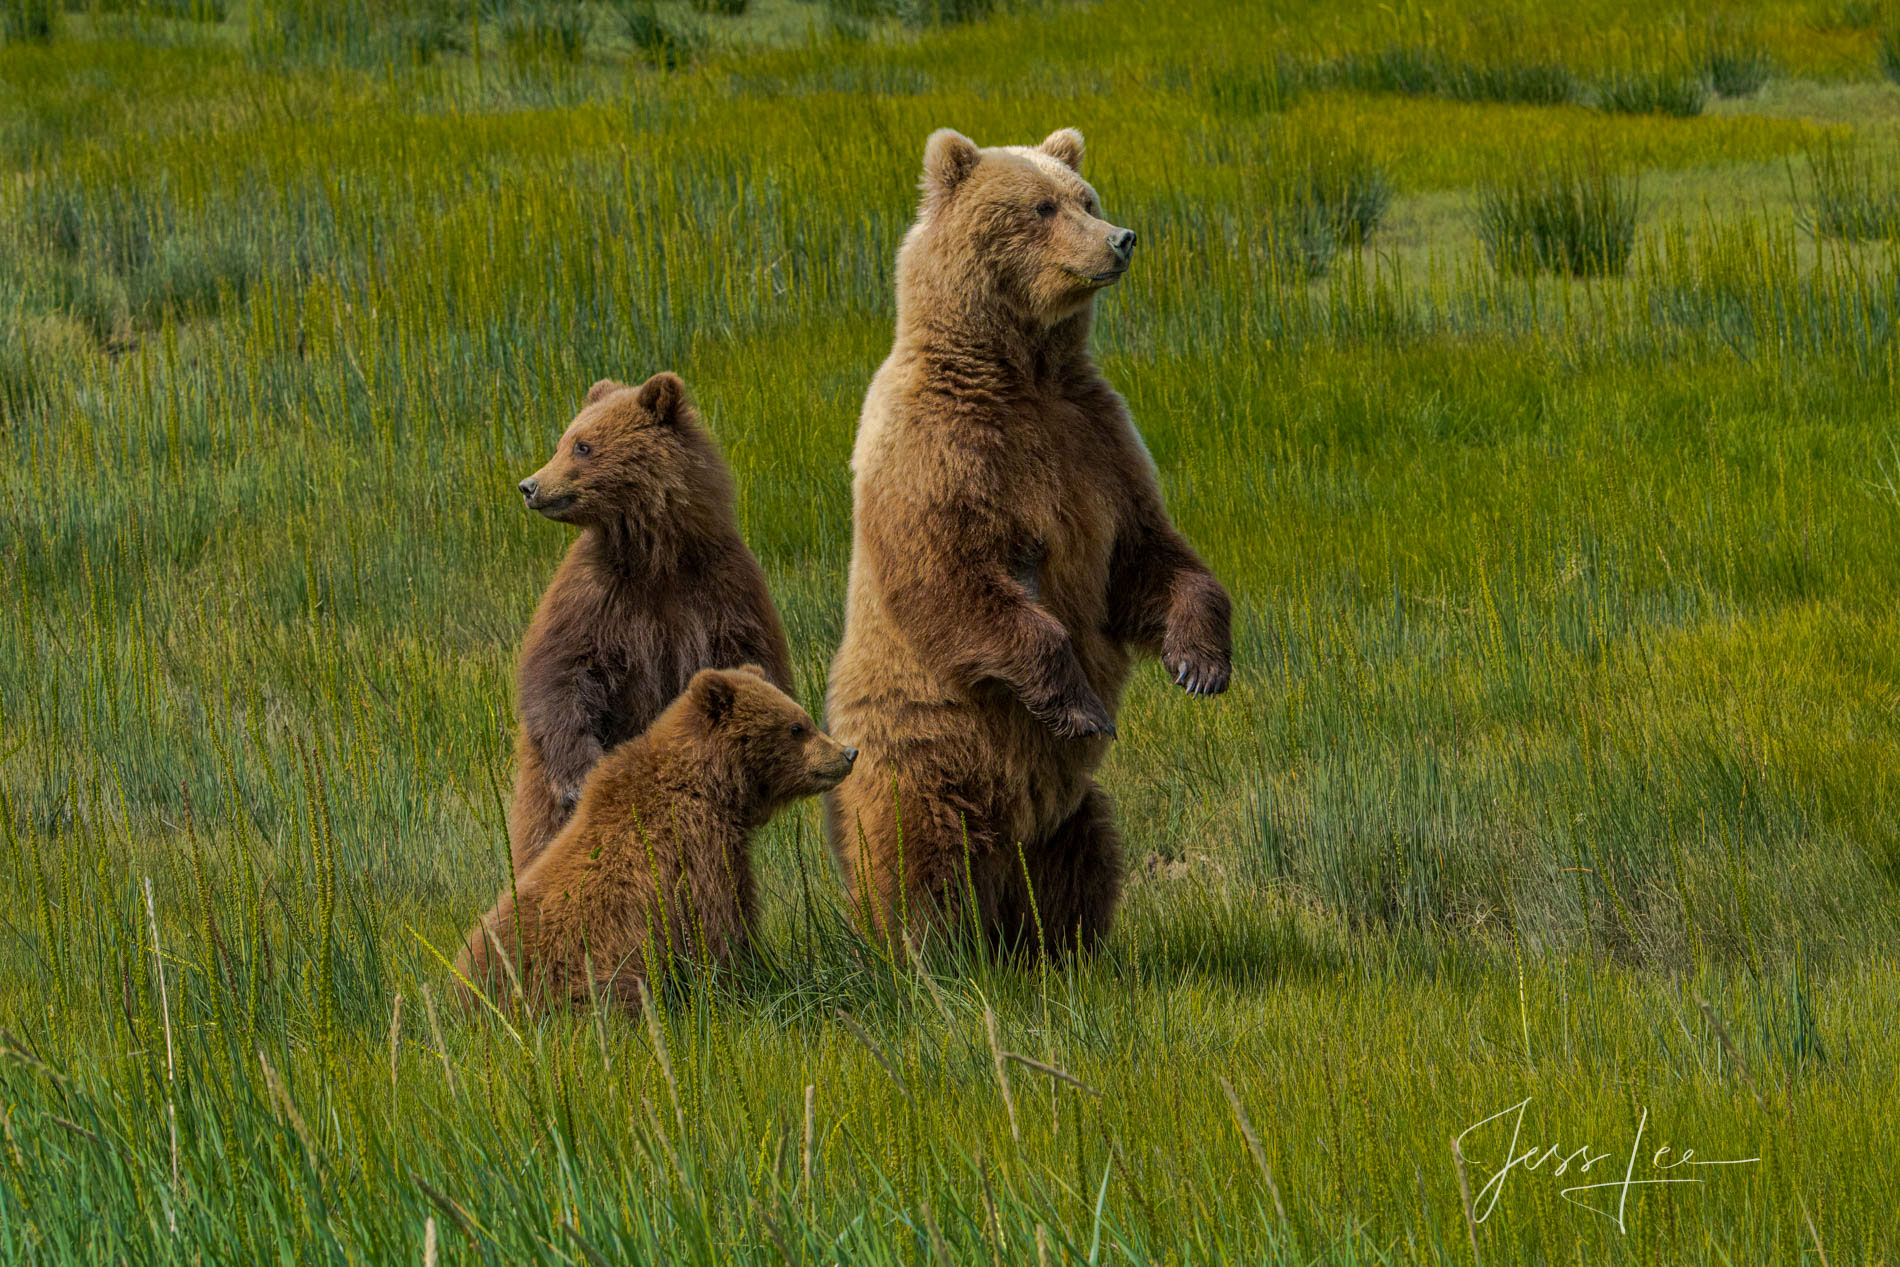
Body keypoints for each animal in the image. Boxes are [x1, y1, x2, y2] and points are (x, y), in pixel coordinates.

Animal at [457, 668, 855, 1018]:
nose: (848, 753)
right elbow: (720, 923)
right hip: (588, 976)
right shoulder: (696, 848)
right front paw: (754, 978)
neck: (712, 786)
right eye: (796, 727)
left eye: (802, 717)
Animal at [505, 372, 794, 877]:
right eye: (564, 441)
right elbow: (562, 671)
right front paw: (579, 775)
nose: (529, 485)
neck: (656, 554)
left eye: (582, 446)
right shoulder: (595, 595)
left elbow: (752, 657)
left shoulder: (723, 588)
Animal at [828, 131, 1231, 961]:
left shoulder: (1096, 440)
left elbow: (1144, 555)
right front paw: (1079, 706)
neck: (1023, 369)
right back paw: (925, 952)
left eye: (1088, 197)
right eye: (1041, 207)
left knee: (1083, 854)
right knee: (912, 862)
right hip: (920, 762)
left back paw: (1064, 948)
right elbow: (954, 575)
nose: (1121, 239)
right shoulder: (941, 447)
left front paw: (1199, 663)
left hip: (1065, 811)